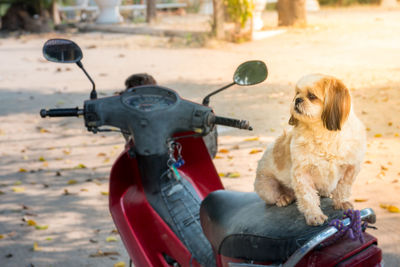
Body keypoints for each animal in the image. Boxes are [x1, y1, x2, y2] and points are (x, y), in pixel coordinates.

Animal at [256, 74, 366, 227]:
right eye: (297, 93)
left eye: (312, 96)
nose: (297, 99)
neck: (324, 132)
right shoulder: (302, 173)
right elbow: (308, 197)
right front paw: (314, 215)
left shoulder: (351, 167)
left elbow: (343, 187)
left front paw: (341, 202)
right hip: (267, 188)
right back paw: (284, 197)